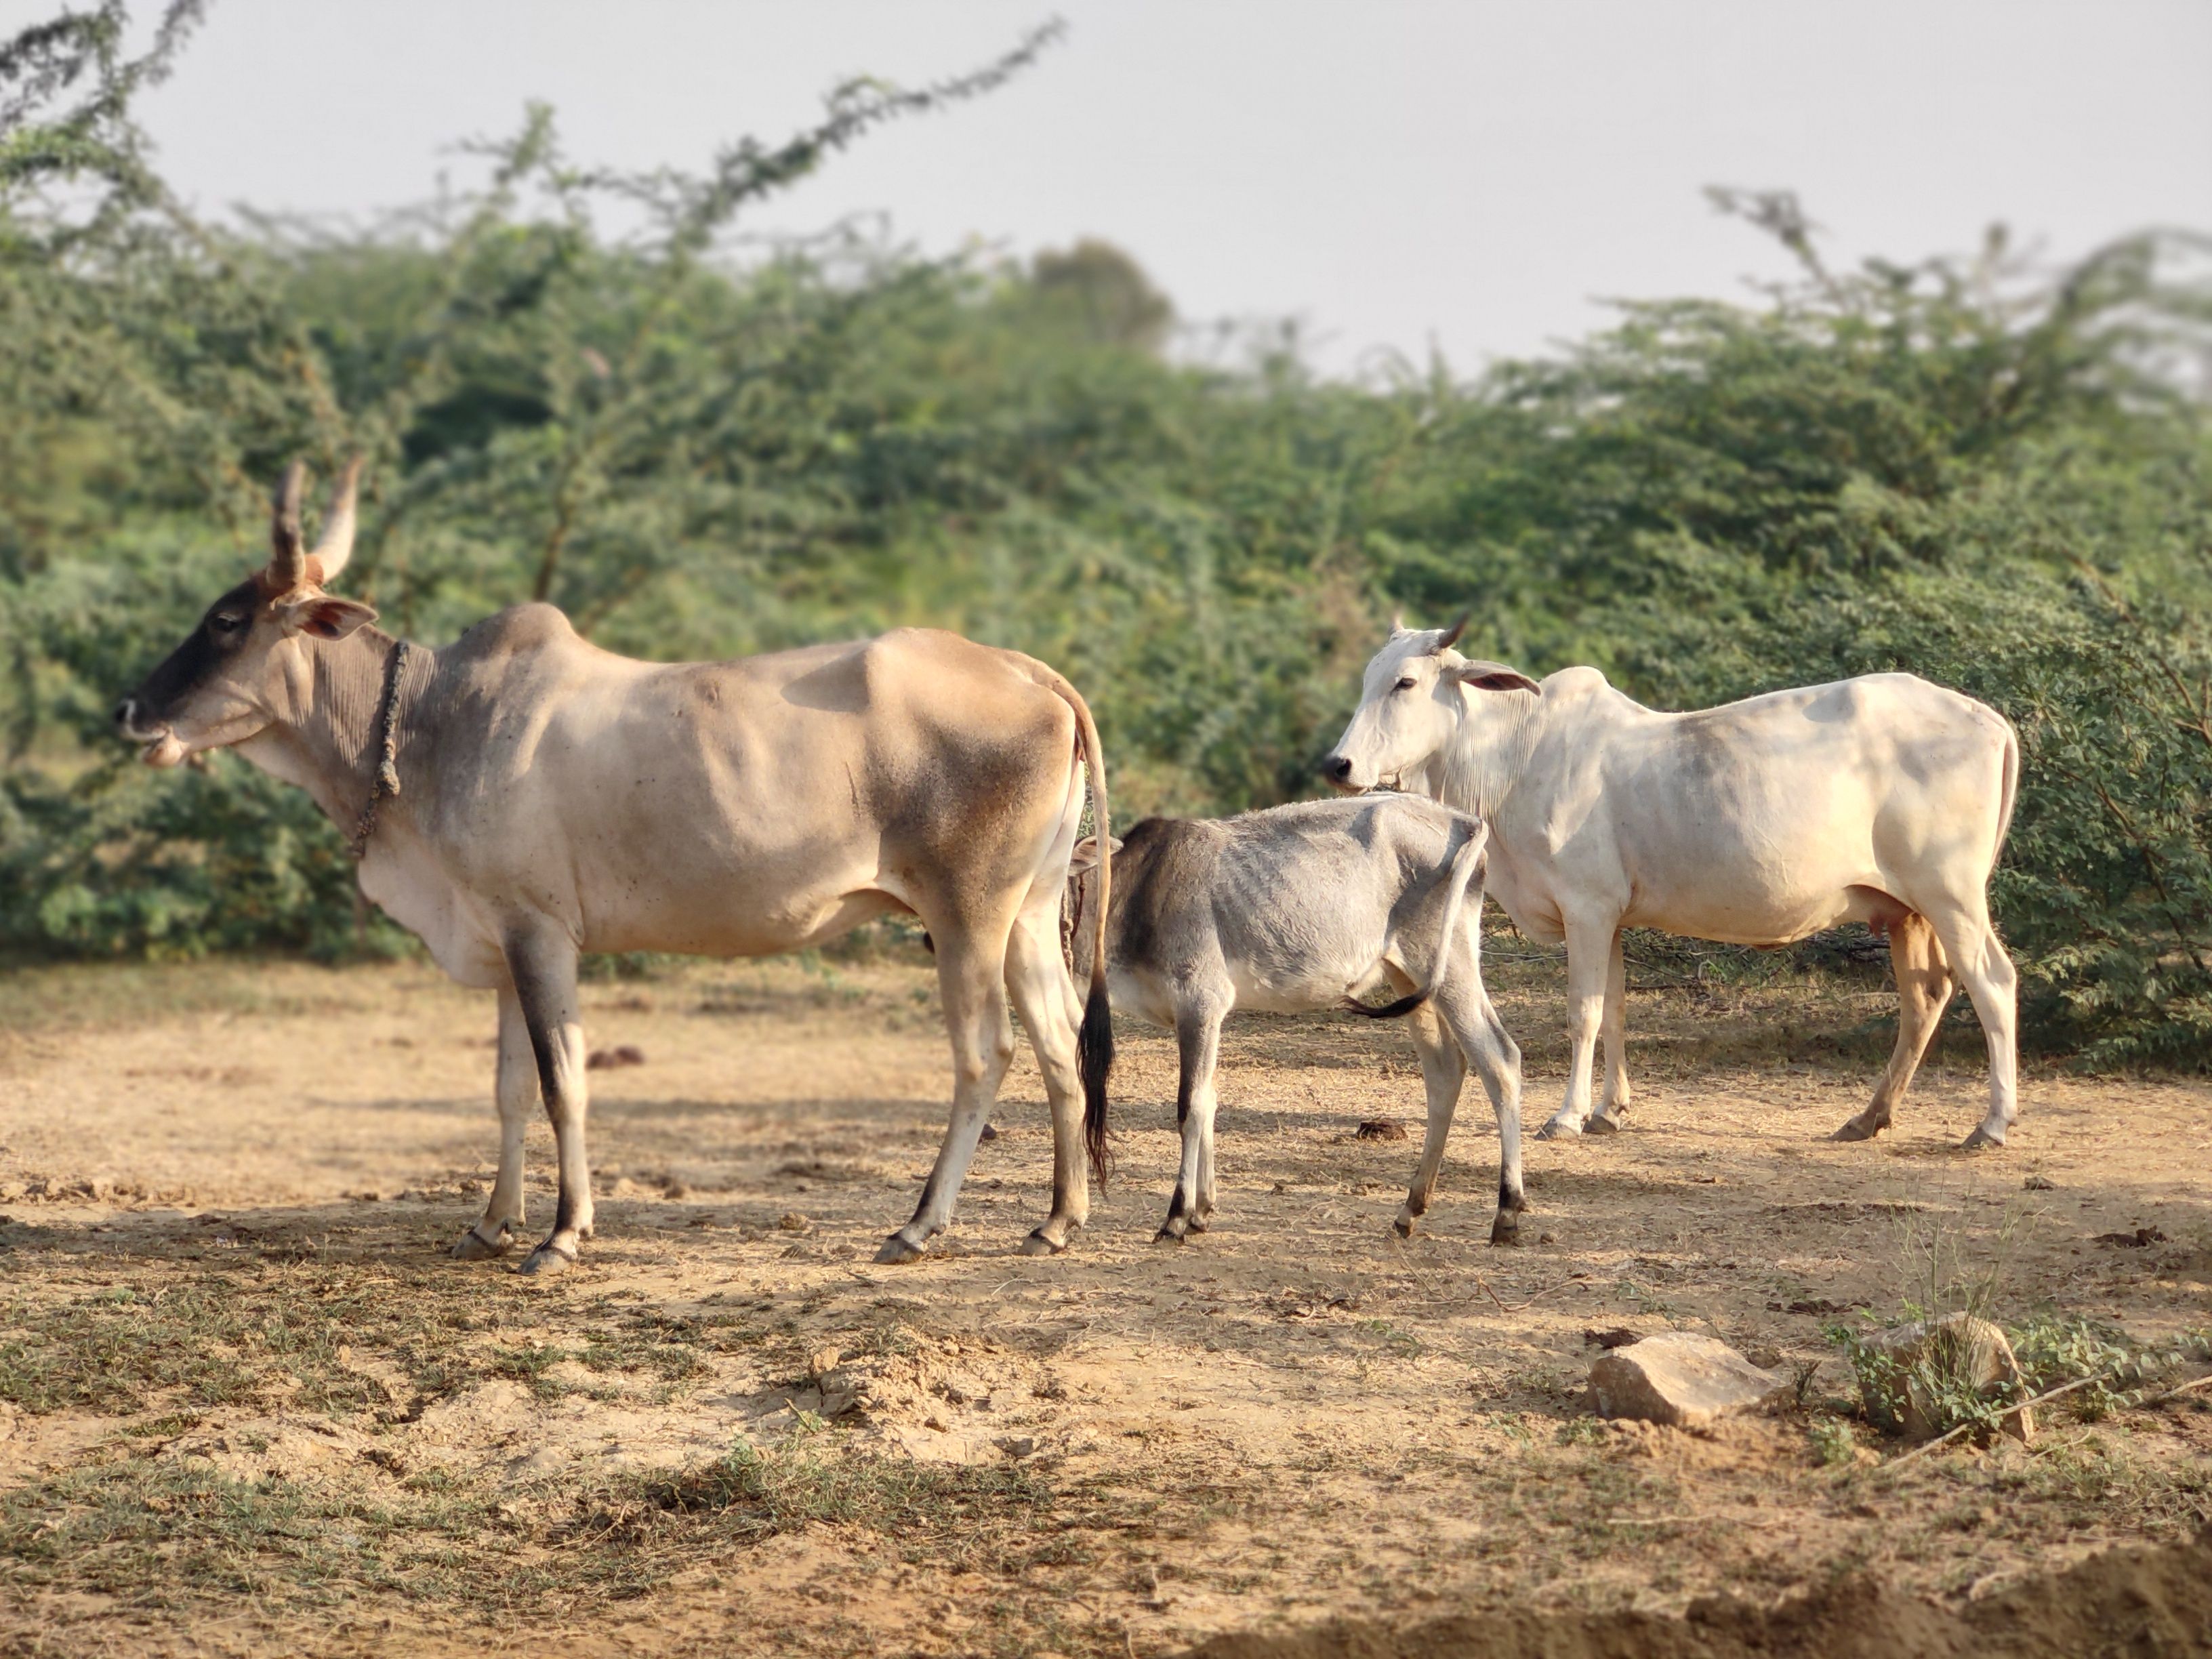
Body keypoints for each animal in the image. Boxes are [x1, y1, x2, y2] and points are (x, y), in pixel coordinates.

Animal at [115, 461, 1115, 1273]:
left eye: (227, 621)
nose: (130, 711)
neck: (431, 722)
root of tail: (1025, 671)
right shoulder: (502, 945)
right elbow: (510, 1088)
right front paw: (491, 1225)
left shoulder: (541, 935)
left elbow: (564, 1083)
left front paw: (562, 1233)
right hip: (1027, 915)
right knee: (1060, 1039)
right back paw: (1059, 1220)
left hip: (967, 917)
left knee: (986, 1053)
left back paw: (919, 1225)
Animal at [1065, 796, 1526, 1245]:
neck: (1139, 890)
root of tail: (1459, 818)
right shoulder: (1198, 1017)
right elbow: (1209, 1100)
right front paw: (1202, 1211)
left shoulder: (1200, 1001)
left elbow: (1190, 1106)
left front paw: (1177, 1216)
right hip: (1408, 976)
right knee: (1445, 1068)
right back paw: (1409, 1210)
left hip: (1449, 962)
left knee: (1499, 1060)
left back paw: (1506, 1211)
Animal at [1321, 618, 2021, 1150]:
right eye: (1368, 679)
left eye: (1406, 683)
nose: (1339, 764)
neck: (1515, 756)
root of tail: (1989, 720)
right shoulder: (1611, 919)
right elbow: (1616, 1010)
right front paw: (1609, 1110)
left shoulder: (1587, 908)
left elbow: (1583, 1013)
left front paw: (1568, 1115)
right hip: (1907, 911)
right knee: (1925, 996)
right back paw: (1870, 1116)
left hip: (1951, 896)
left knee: (1992, 982)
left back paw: (1992, 1123)